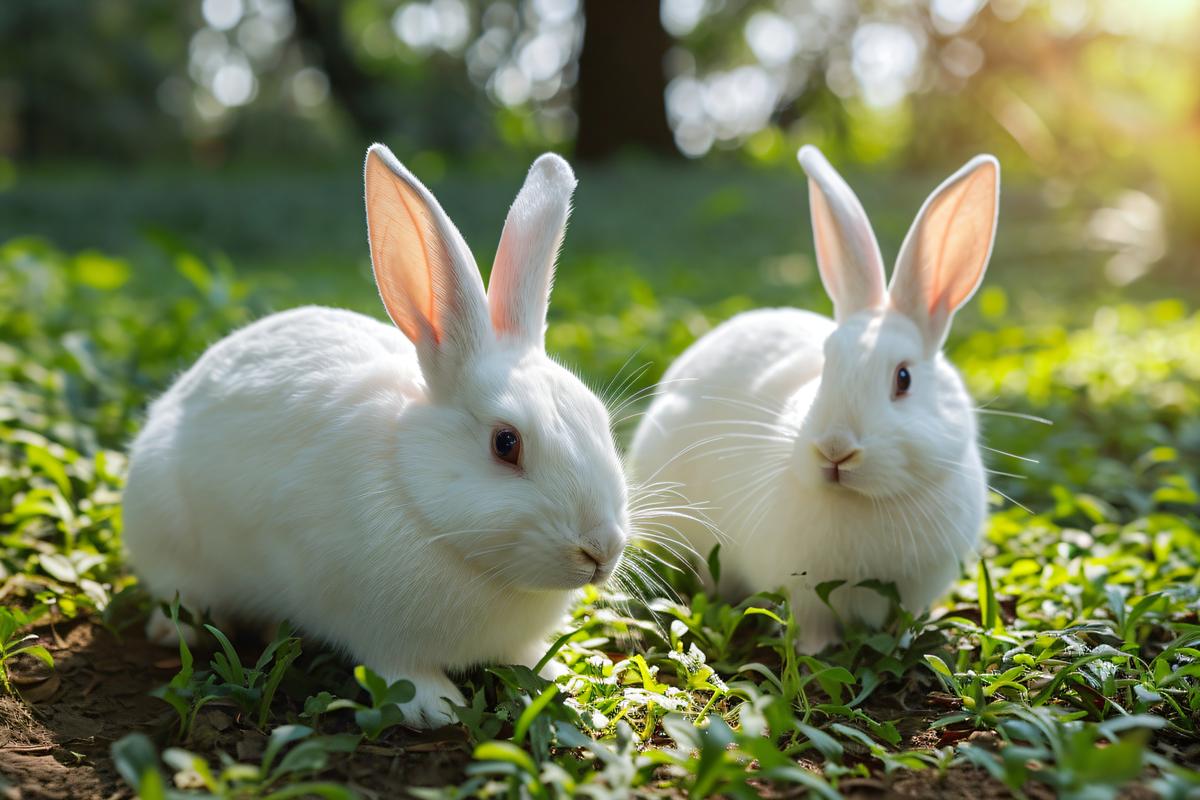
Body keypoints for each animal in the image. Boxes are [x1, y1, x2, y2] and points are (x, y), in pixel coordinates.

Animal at [120, 143, 628, 724]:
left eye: (599, 420)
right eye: (506, 443)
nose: (601, 549)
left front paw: (556, 677)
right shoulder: (369, 625)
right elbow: (399, 669)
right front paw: (436, 707)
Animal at [633, 146, 998, 652]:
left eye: (903, 378)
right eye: (825, 365)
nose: (835, 450)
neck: (861, 501)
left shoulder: (917, 588)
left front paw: (904, 642)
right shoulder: (803, 592)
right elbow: (811, 626)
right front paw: (814, 652)